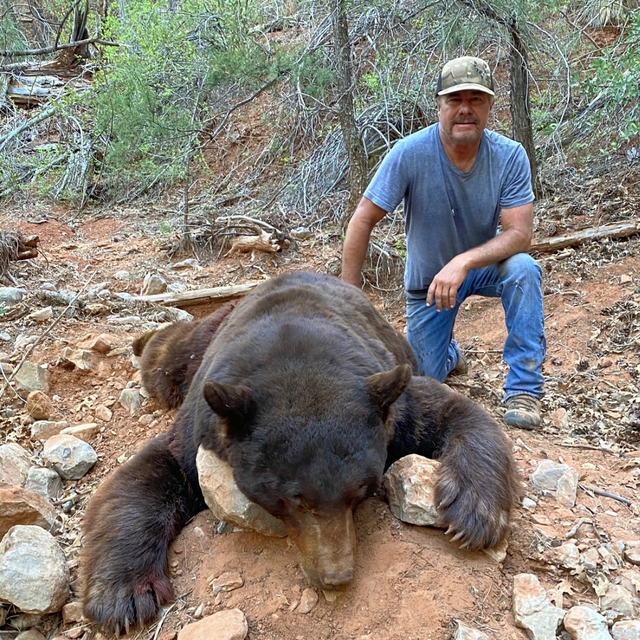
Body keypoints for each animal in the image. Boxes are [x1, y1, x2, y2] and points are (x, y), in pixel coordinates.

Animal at [80, 271, 519, 634]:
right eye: (294, 498)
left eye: (361, 493)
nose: (336, 577)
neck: (295, 349)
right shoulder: (199, 429)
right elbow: (151, 472)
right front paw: (123, 595)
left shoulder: (392, 405)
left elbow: (457, 413)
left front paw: (473, 511)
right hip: (200, 347)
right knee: (167, 359)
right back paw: (141, 340)